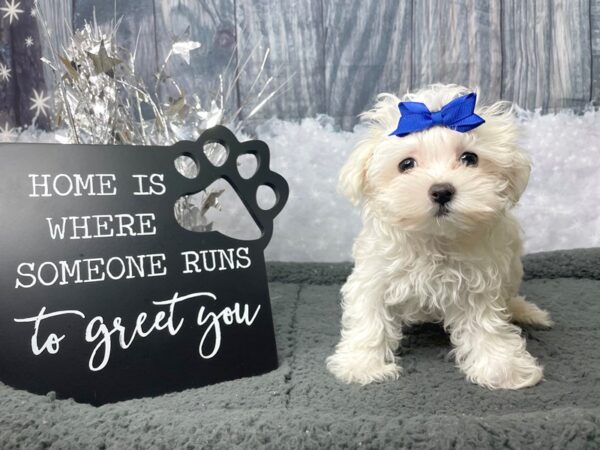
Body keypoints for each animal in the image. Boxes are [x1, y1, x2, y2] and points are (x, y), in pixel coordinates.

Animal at [328, 84, 552, 390]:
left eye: (470, 158)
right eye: (406, 164)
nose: (442, 191)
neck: (434, 238)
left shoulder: (478, 285)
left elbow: (486, 323)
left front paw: (503, 367)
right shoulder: (374, 275)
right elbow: (370, 316)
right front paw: (363, 365)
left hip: (512, 267)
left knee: (508, 298)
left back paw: (525, 311)